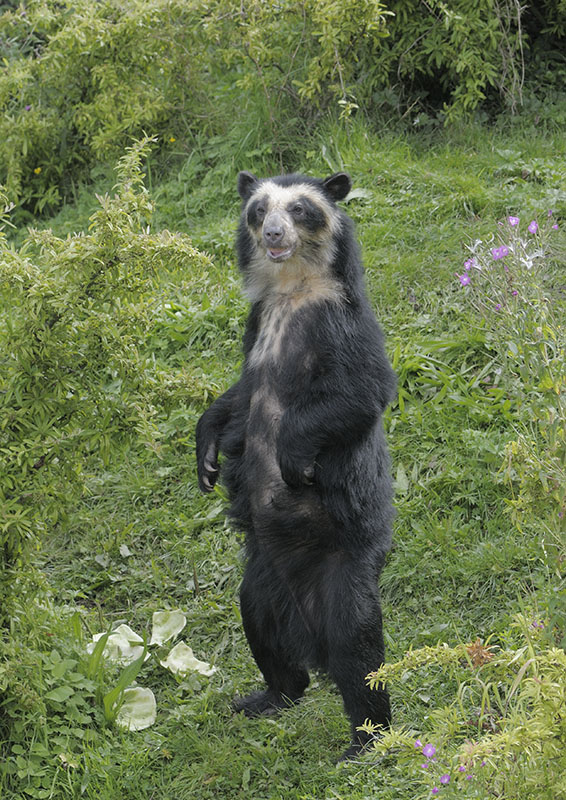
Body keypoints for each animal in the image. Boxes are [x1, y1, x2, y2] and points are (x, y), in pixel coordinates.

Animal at [196, 170, 396, 760]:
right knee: (260, 628)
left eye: (303, 209)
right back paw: (267, 697)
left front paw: (291, 459)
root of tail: (309, 630)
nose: (274, 234)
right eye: (259, 210)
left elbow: (362, 388)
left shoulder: (340, 322)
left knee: (359, 650)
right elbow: (238, 395)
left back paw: (365, 740)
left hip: (347, 566)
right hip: (261, 579)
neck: (291, 289)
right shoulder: (256, 324)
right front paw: (206, 458)